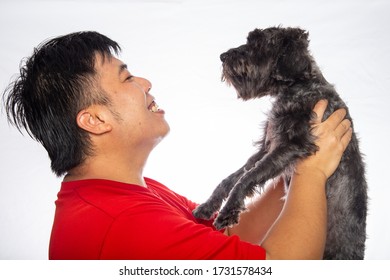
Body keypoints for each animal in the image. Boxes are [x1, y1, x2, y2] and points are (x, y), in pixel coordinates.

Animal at [193, 27, 368, 260]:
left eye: (259, 44)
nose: (223, 56)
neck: (298, 86)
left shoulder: (292, 145)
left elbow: (247, 177)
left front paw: (228, 211)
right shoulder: (266, 148)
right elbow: (232, 177)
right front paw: (208, 205)